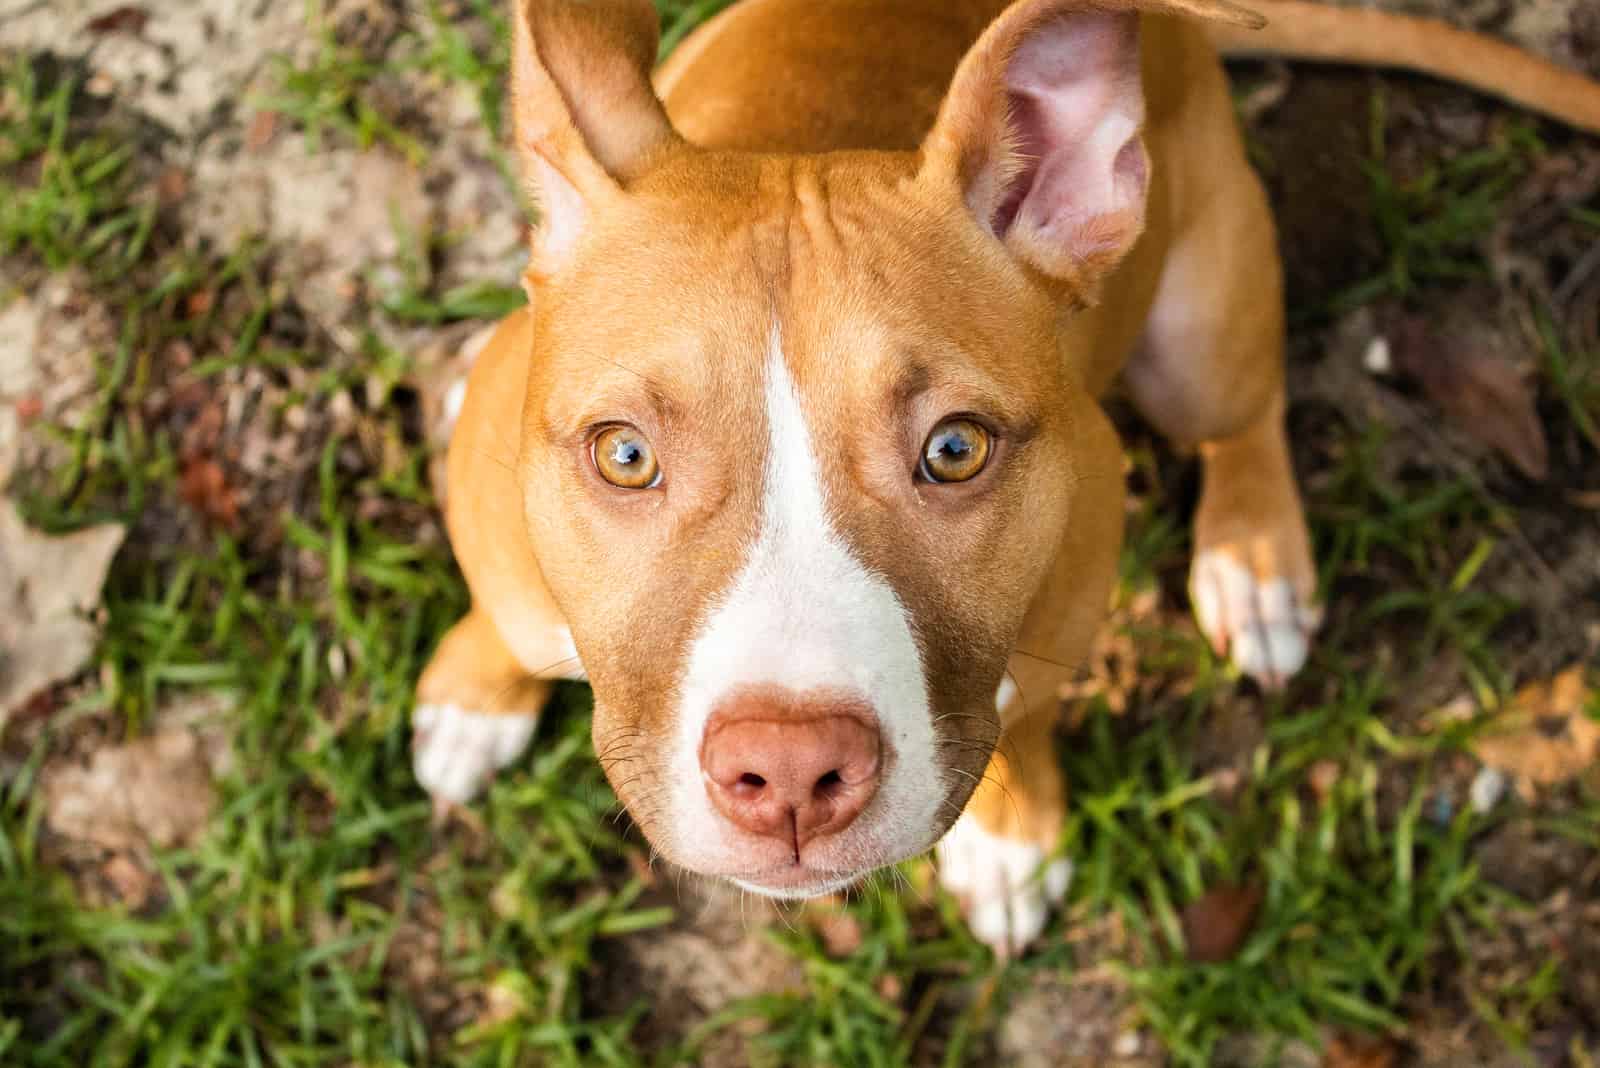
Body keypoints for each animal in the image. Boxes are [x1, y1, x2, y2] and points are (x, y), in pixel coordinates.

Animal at [409, 0, 1600, 952]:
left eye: (956, 449)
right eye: (625, 454)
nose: (789, 775)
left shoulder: (1068, 585)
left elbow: (1017, 719)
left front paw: (1009, 838)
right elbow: (506, 612)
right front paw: (476, 695)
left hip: (1199, 334)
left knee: (1245, 417)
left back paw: (1255, 561)